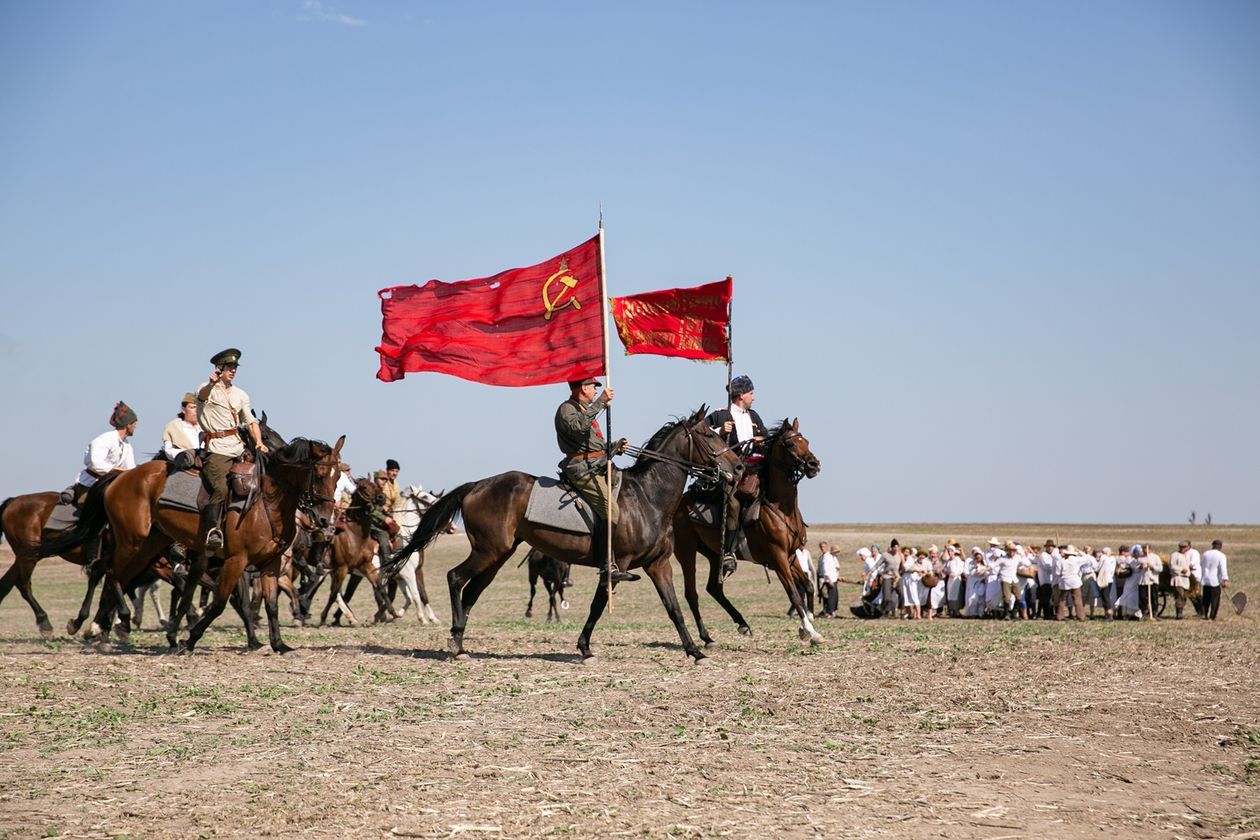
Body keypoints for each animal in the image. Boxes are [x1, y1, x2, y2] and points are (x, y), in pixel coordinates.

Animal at [76, 428, 345, 654]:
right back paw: (110, 622)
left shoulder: (270, 563)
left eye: (338, 476)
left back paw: (104, 627)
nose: (324, 519)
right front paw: (189, 640)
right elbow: (220, 603)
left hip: (148, 545)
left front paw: (279, 644)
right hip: (131, 541)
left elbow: (270, 604)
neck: (266, 502)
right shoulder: (236, 561)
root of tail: (120, 477)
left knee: (117, 575)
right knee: (110, 571)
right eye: (320, 475)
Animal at [393, 408, 740, 664]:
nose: (736, 467)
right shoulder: (616, 566)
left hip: (496, 556)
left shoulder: (659, 565)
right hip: (488, 552)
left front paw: (695, 651)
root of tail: (477, 485)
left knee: (471, 593)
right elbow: (598, 605)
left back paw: (460, 641)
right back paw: (457, 642)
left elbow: (674, 608)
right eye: (709, 434)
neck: (647, 497)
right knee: (455, 578)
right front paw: (585, 649)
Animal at [675, 418, 821, 644]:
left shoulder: (790, 556)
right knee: (692, 593)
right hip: (686, 552)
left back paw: (742, 624)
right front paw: (811, 632)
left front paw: (808, 624)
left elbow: (808, 585)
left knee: (714, 588)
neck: (780, 508)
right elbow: (794, 593)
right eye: (790, 444)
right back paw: (707, 638)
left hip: (713, 554)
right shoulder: (778, 558)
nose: (814, 465)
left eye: (806, 441)